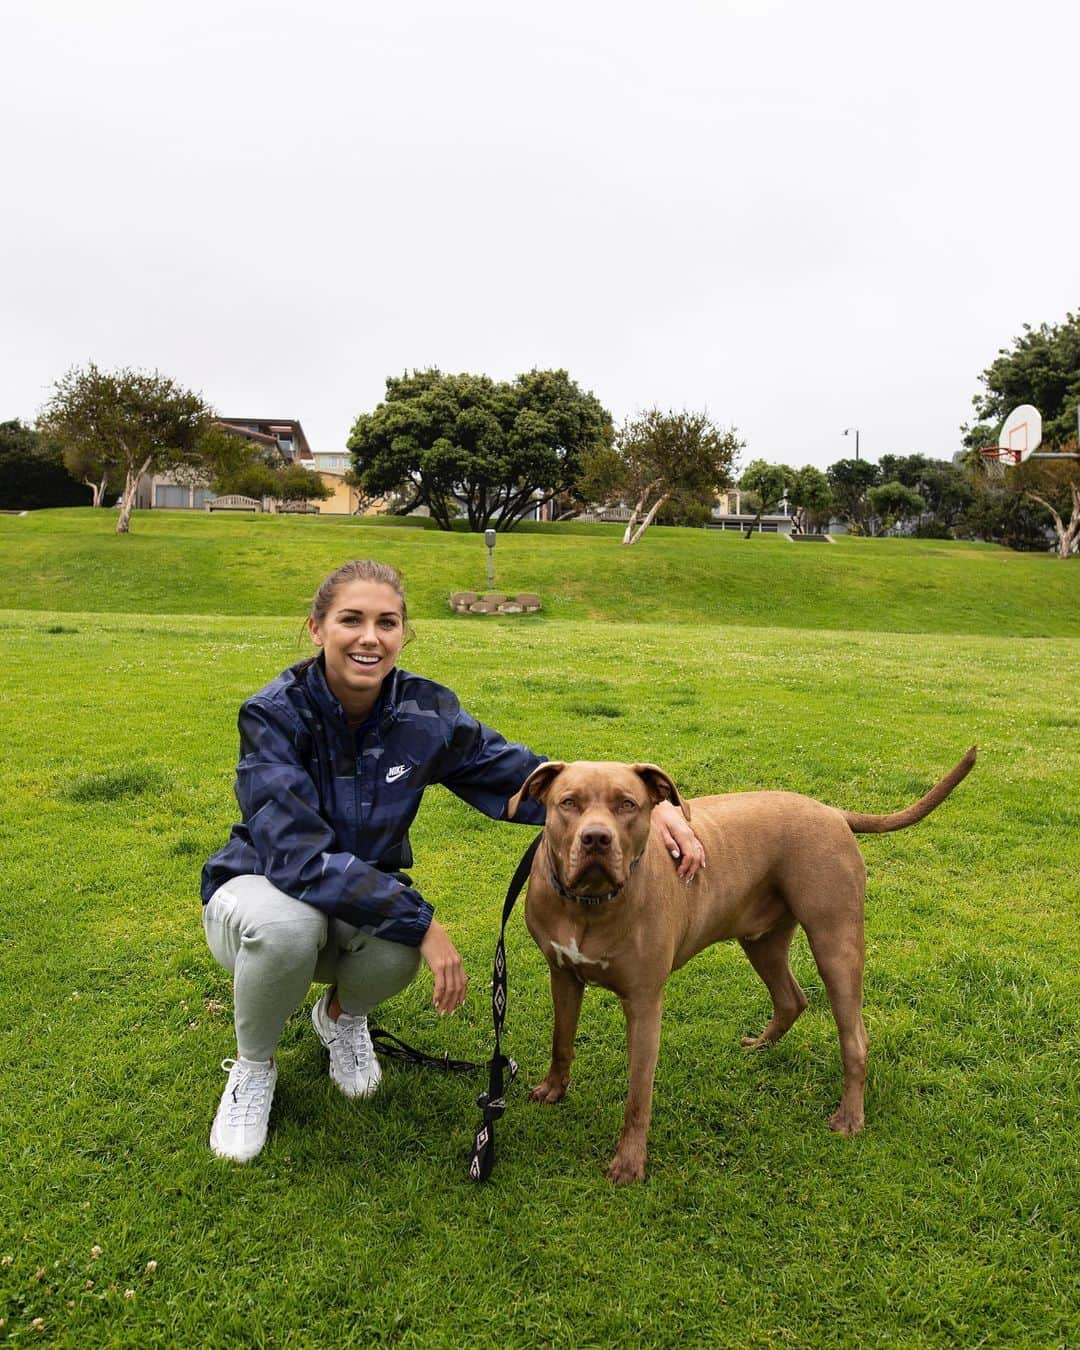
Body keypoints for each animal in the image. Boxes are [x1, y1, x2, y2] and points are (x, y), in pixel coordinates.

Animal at [510, 756, 972, 1188]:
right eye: (568, 803)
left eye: (628, 804)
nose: (596, 838)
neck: (588, 904)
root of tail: (832, 810)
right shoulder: (562, 976)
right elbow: (561, 1041)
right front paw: (552, 1090)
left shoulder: (644, 1002)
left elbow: (638, 1096)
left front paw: (629, 1162)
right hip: (763, 941)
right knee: (792, 998)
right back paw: (762, 1046)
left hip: (835, 943)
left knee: (854, 1036)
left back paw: (849, 1116)